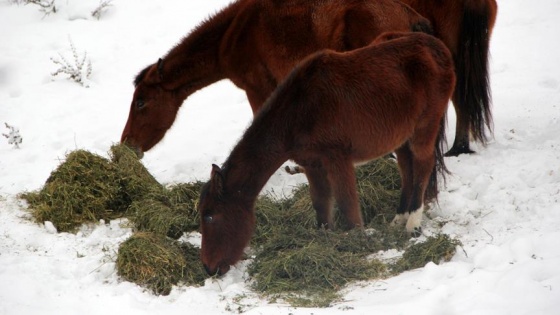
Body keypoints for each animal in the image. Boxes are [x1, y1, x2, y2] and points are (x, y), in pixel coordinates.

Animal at [197, 30, 456, 276]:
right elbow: (321, 203)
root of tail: (438, 47)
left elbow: (347, 205)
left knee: (422, 165)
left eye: (209, 216)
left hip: (424, 128)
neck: (299, 112)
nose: (208, 268)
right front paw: (324, 240)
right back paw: (399, 218)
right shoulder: (313, 164)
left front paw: (356, 243)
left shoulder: (337, 159)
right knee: (407, 170)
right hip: (401, 136)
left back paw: (413, 223)